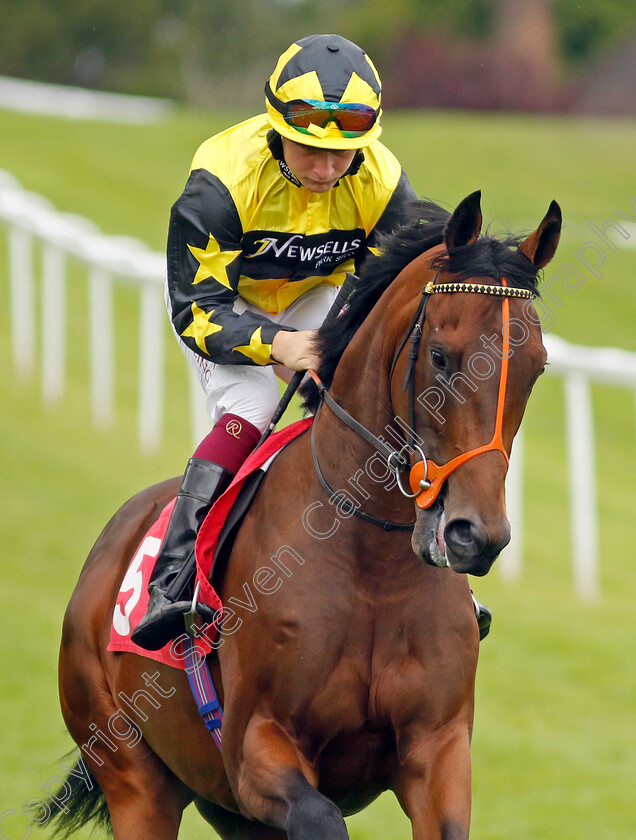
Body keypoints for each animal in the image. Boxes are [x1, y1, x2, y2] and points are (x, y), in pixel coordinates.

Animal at [51, 192, 560, 840]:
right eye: (442, 357)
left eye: (536, 367)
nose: (477, 536)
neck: (372, 570)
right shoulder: (256, 750)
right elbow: (320, 815)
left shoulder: (438, 747)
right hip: (134, 779)